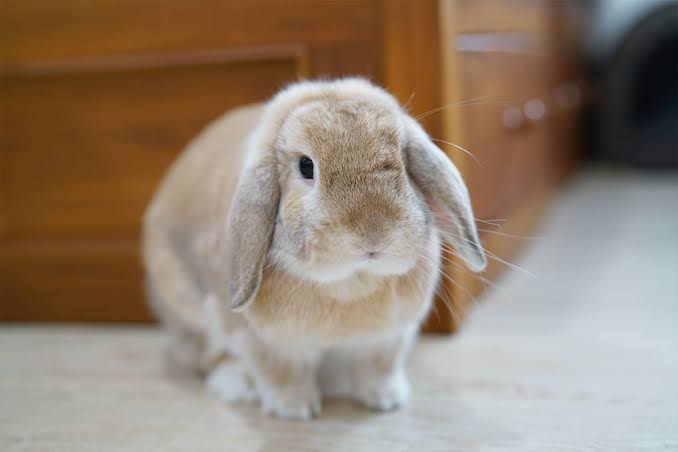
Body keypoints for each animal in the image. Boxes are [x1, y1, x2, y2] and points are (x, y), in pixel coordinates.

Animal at [142, 78, 486, 420]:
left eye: (403, 159)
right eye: (306, 167)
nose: (373, 235)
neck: (349, 285)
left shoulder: (387, 339)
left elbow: (378, 369)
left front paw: (386, 400)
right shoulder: (266, 343)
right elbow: (281, 374)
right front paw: (294, 409)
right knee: (203, 356)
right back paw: (236, 384)